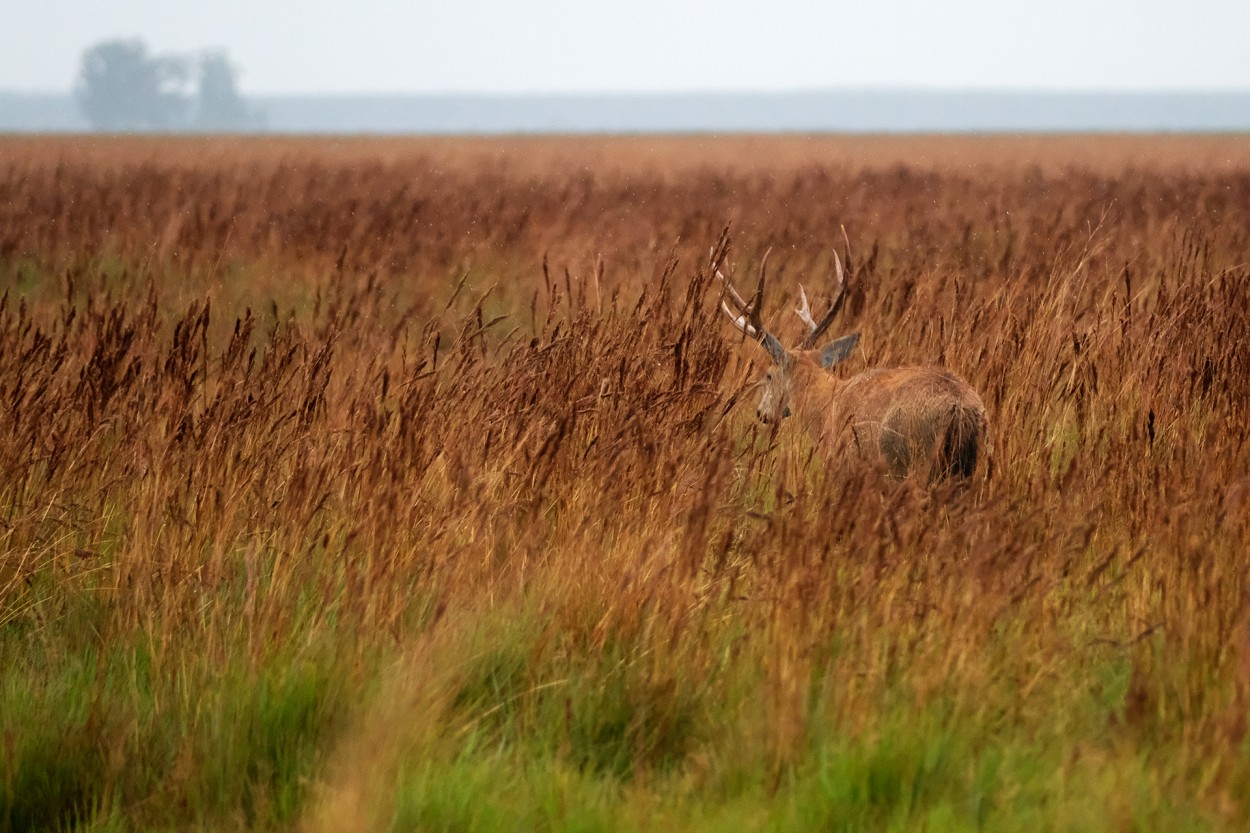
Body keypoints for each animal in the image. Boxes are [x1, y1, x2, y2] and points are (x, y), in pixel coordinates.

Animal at [720, 245, 990, 480]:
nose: (761, 412)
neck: (825, 406)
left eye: (769, 374)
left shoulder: (843, 464)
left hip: (910, 461)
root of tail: (961, 408)